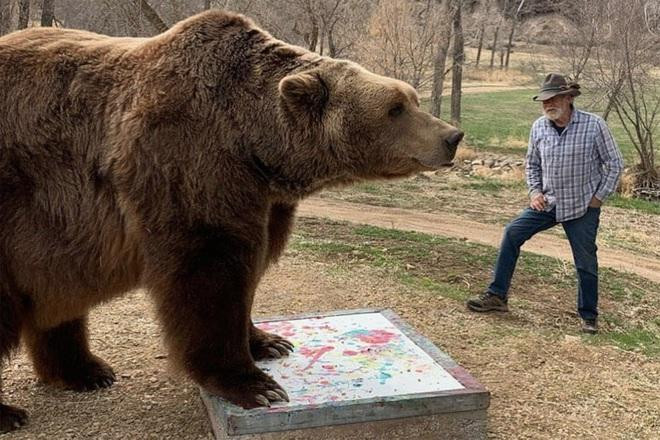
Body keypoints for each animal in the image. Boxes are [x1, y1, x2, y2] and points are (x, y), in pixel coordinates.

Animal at [0, 9, 462, 432]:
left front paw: (269, 342)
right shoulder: (187, 164)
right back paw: (14, 411)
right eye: (395, 108)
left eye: (412, 98)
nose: (452, 136)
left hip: (55, 233)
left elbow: (252, 268)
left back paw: (88, 371)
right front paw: (256, 385)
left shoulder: (265, 200)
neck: (254, 143)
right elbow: (209, 274)